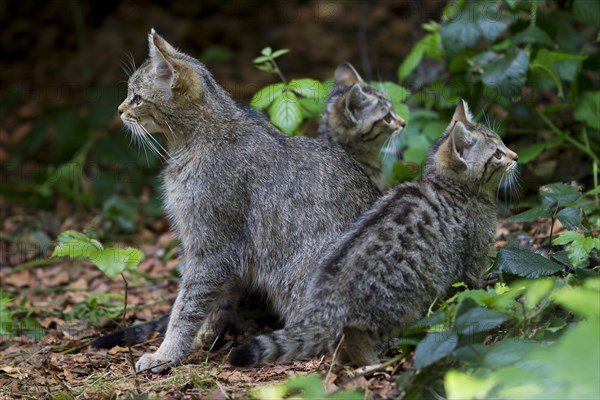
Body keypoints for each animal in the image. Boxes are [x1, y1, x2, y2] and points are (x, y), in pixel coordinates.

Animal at [119, 29, 378, 374]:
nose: (119, 110)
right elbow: (215, 301)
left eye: (136, 97)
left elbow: (186, 306)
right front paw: (203, 336)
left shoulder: (212, 246)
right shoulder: (216, 251)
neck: (190, 142)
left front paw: (166, 352)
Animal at [227, 99, 516, 366]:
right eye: (497, 154)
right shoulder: (472, 258)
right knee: (354, 336)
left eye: (503, 144)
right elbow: (474, 288)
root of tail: (329, 296)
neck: (449, 186)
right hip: (397, 309)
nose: (514, 156)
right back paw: (371, 363)